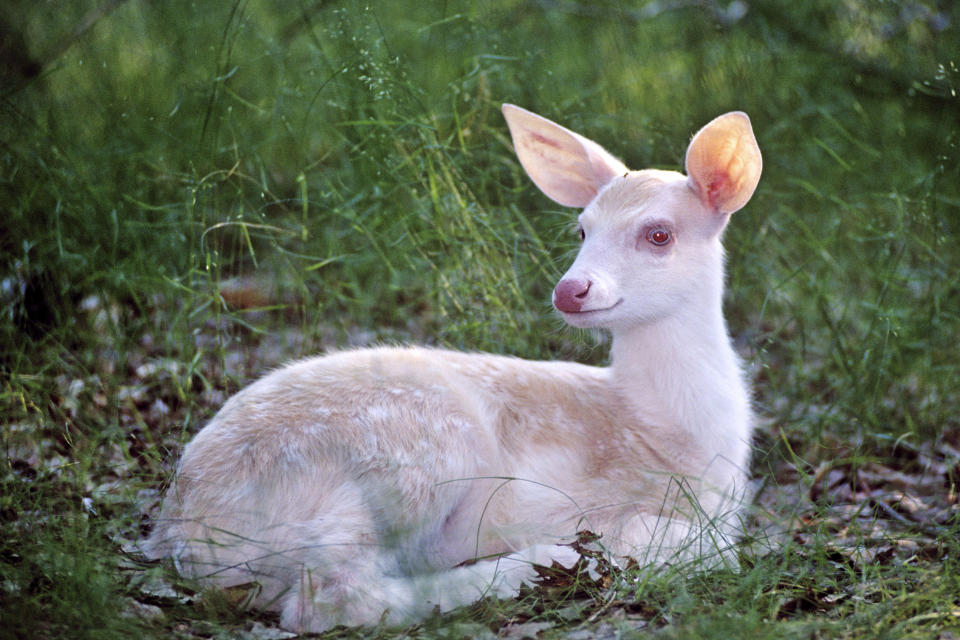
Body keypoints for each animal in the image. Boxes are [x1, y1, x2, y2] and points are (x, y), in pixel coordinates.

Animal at [142, 105, 760, 632]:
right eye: (581, 230)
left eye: (659, 234)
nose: (571, 289)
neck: (662, 427)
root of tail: (184, 532)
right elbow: (706, 546)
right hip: (410, 454)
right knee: (329, 597)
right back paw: (544, 563)